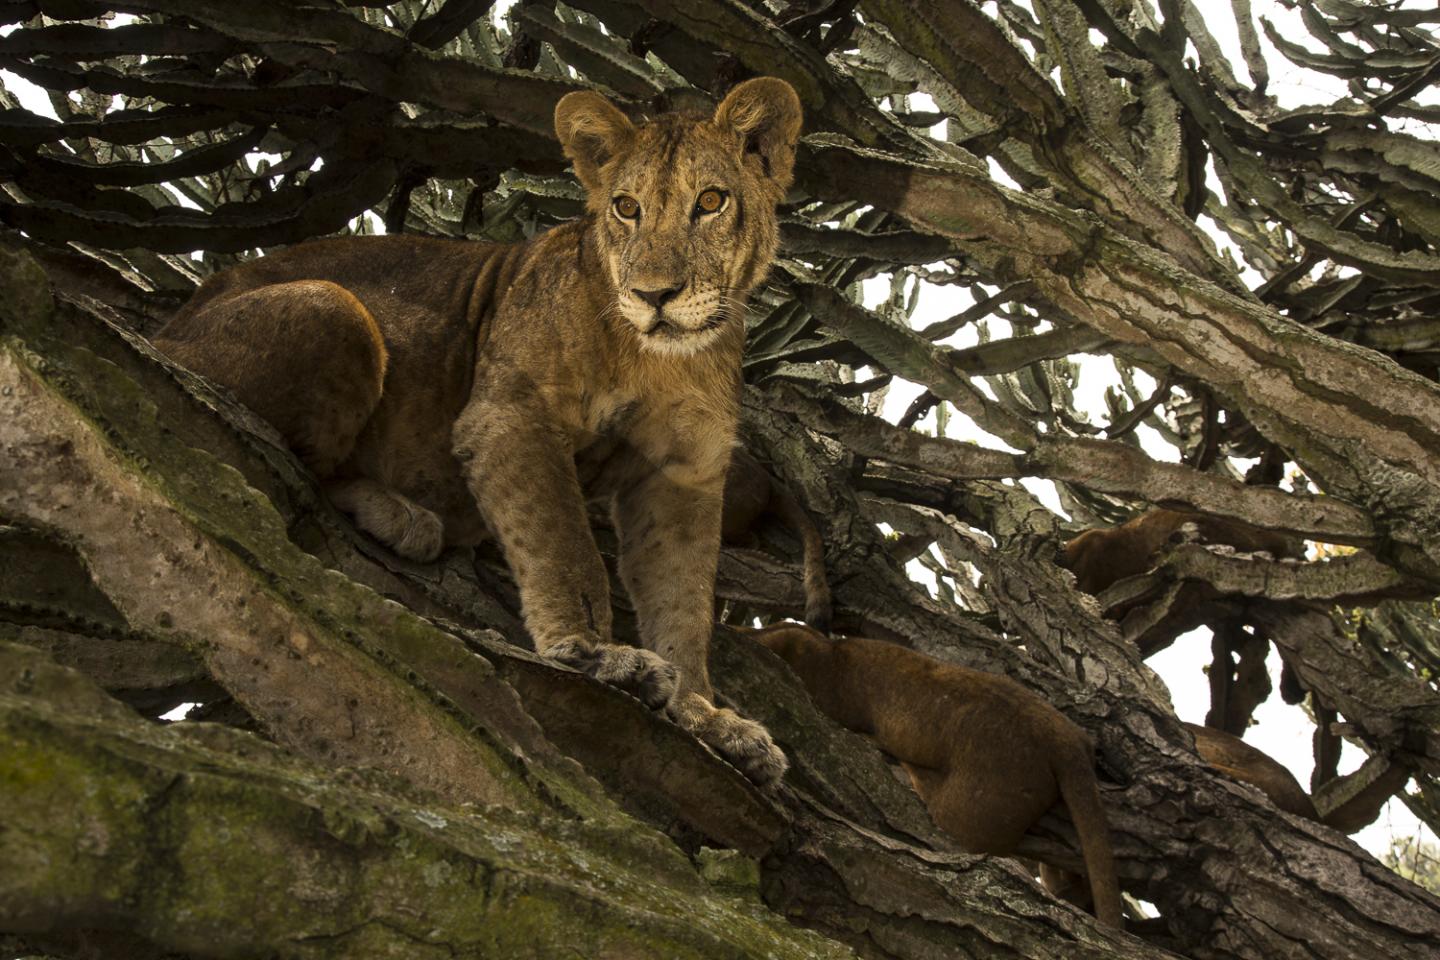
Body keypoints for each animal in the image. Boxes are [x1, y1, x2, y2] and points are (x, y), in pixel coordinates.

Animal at [151, 78, 803, 786]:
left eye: (710, 201)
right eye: (627, 208)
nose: (653, 296)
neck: (662, 359)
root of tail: (170, 323)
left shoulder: (682, 475)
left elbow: (683, 604)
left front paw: (707, 717)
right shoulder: (510, 415)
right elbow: (566, 548)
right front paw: (597, 656)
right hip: (337, 308)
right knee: (306, 469)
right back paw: (405, 518)